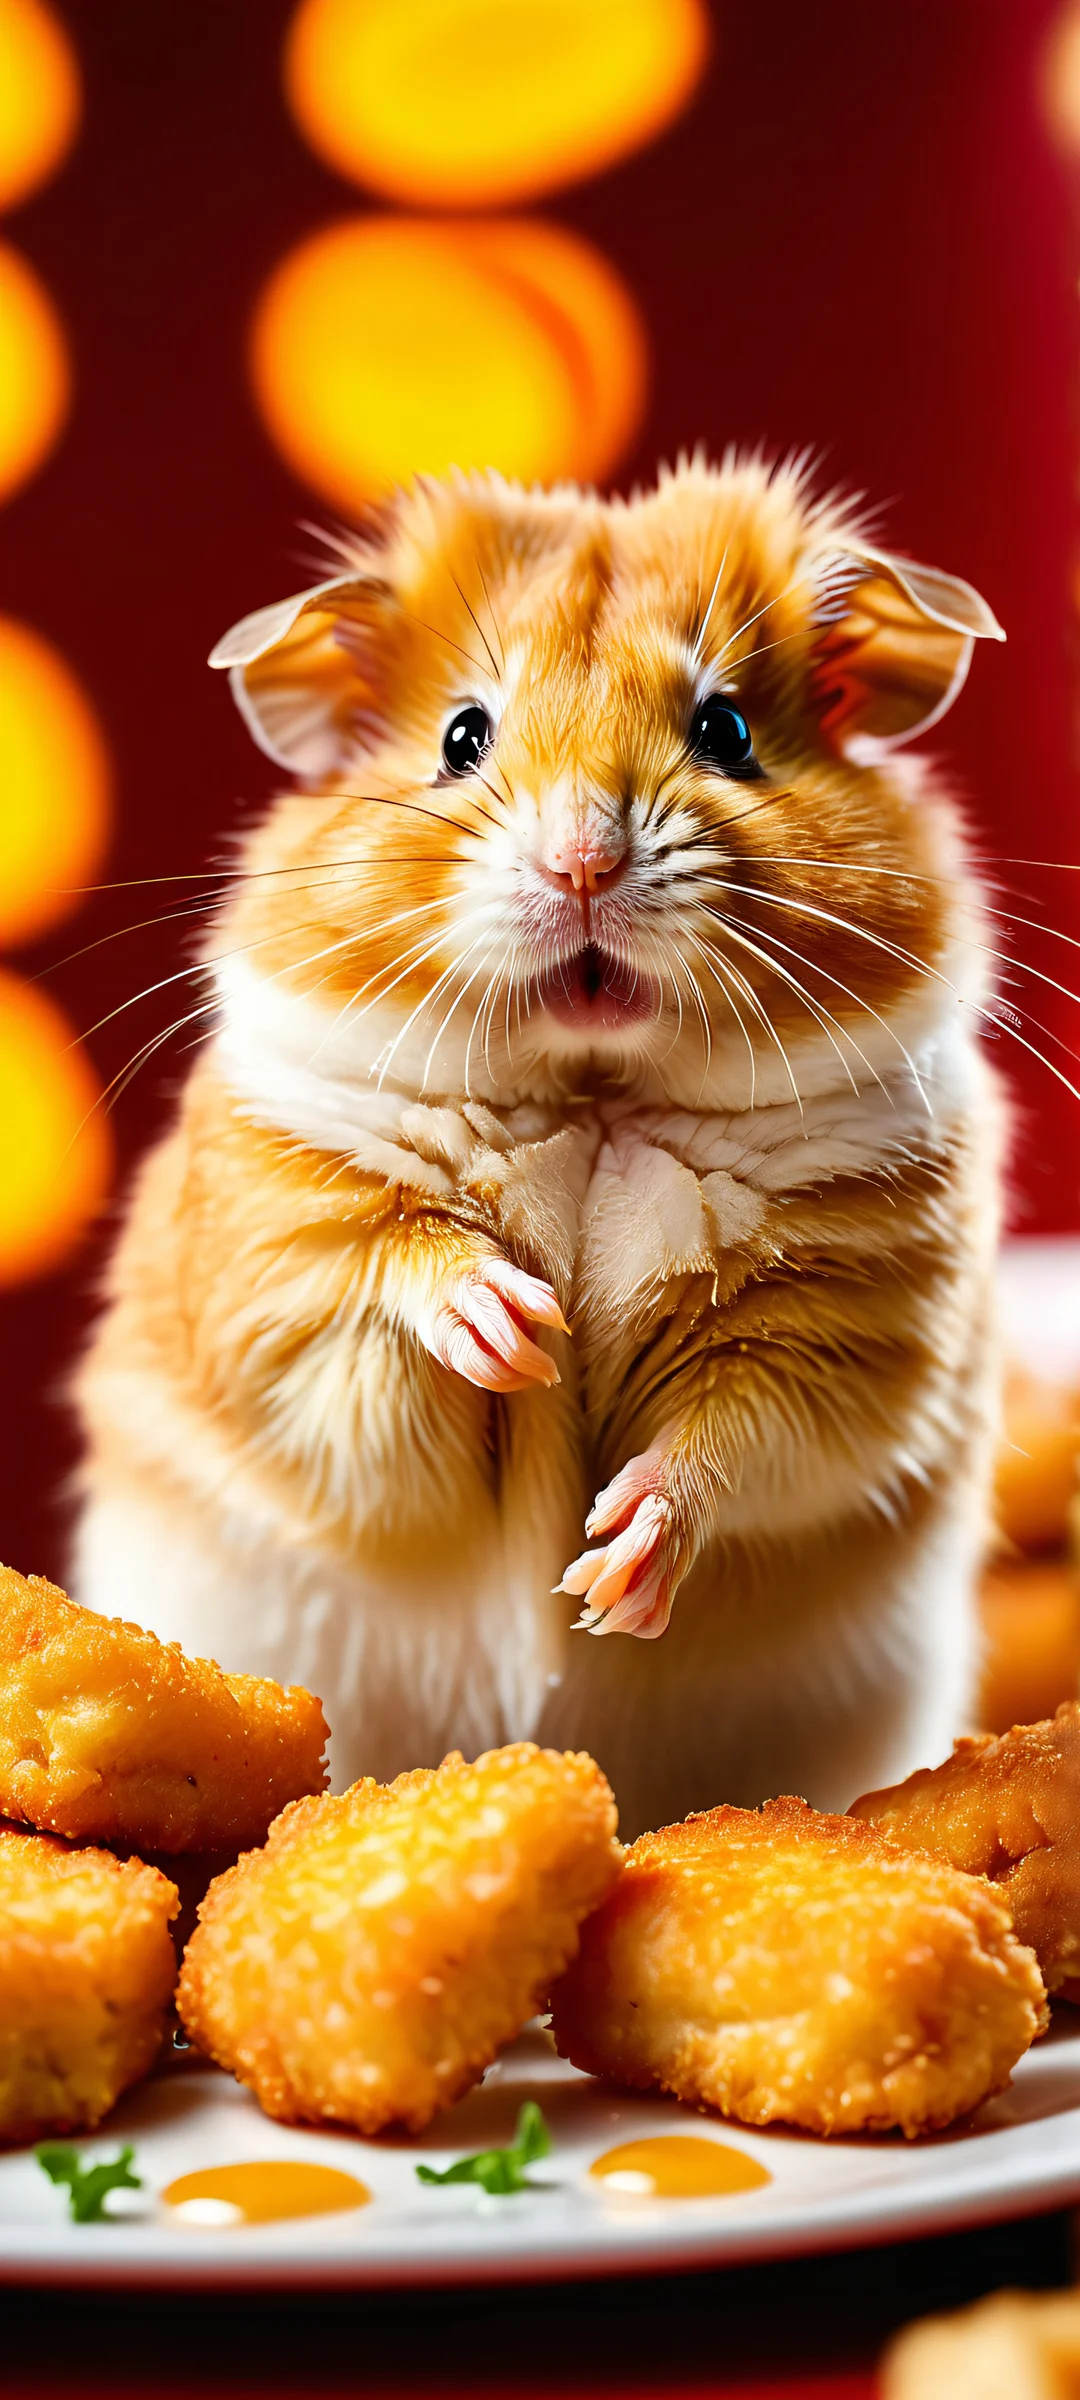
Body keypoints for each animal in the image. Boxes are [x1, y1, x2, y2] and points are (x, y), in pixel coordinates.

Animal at [71, 453, 1007, 1838]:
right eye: (463, 735)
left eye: (727, 731)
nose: (582, 863)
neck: (594, 1095)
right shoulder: (281, 1260)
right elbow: (394, 1277)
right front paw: (519, 1329)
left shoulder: (844, 1333)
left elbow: (738, 1440)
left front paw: (608, 1581)